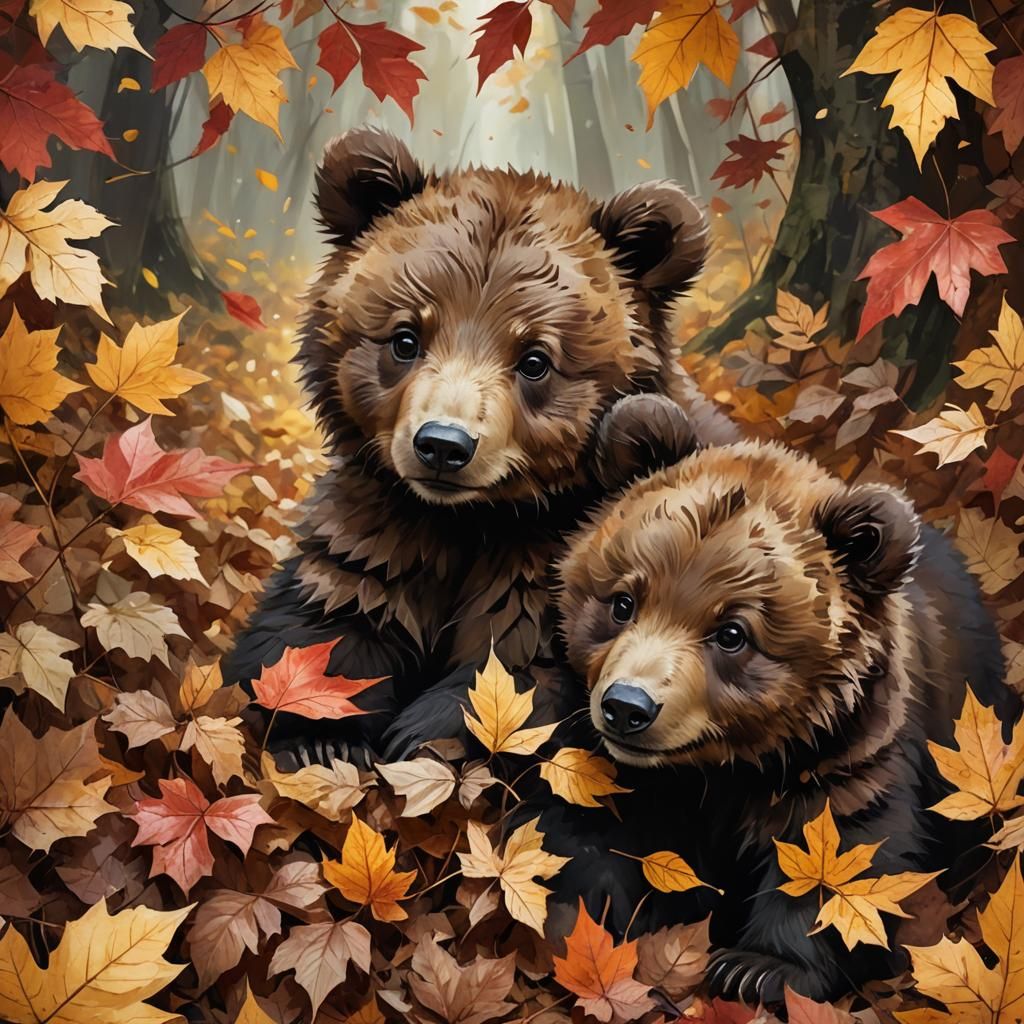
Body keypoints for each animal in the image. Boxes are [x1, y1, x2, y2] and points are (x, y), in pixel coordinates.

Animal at [221, 126, 738, 769]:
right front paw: (321, 734)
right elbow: (324, 616)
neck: (470, 519)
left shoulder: (557, 560)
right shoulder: (384, 524)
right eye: (406, 338)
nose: (443, 445)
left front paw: (424, 738)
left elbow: (518, 671)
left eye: (535, 359)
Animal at [540, 438, 1017, 1004]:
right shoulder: (605, 758)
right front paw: (588, 927)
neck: (721, 766)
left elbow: (835, 849)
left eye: (732, 633)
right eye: (623, 602)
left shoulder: (841, 751)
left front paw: (757, 969)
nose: (628, 706)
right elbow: (588, 823)